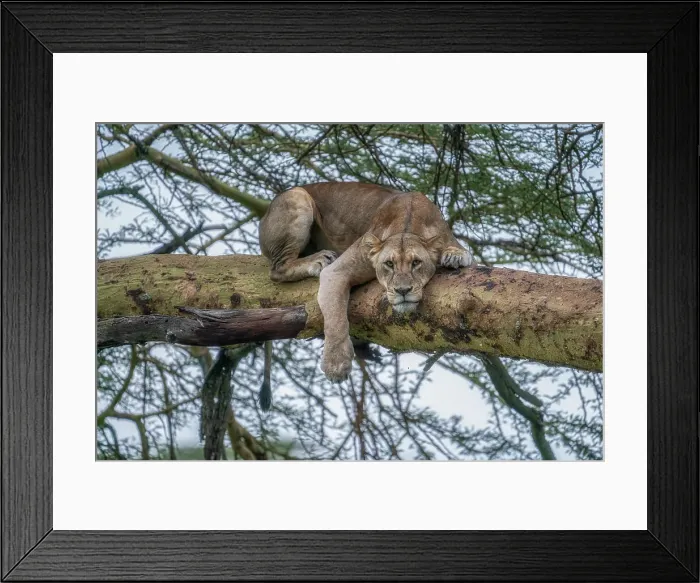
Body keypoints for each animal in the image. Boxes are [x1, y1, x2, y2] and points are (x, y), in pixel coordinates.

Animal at [258, 181, 473, 387]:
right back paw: (318, 259)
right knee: (278, 269)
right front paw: (336, 364)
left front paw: (454, 255)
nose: (402, 290)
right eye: (389, 264)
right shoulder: (337, 272)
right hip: (297, 197)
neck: (409, 221)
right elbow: (336, 318)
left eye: (416, 263)